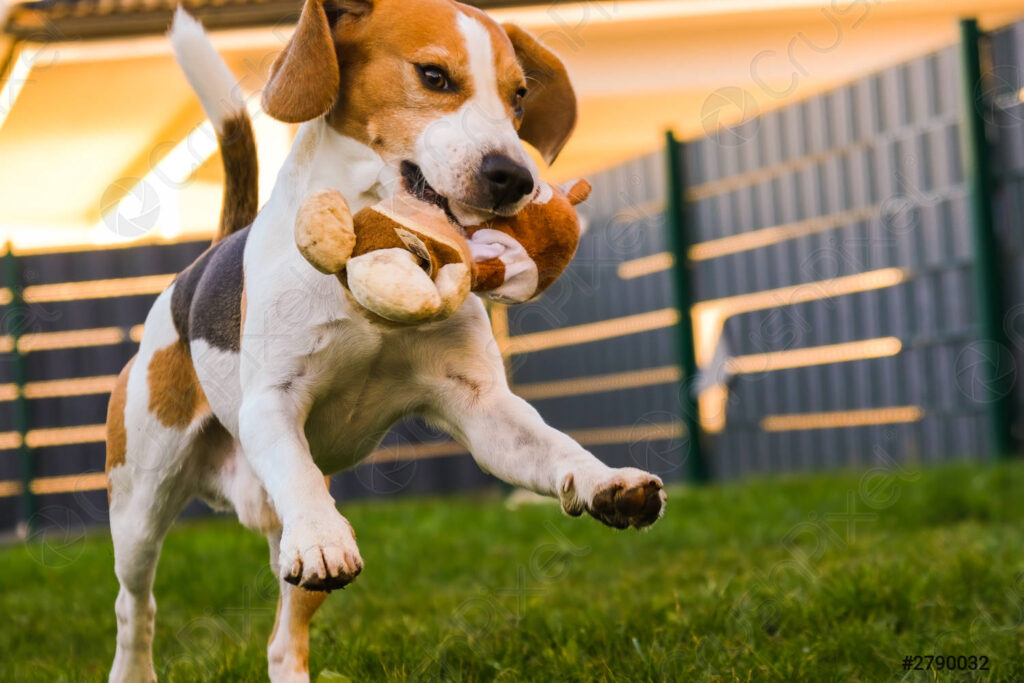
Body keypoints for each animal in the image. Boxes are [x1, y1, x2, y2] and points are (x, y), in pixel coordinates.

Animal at [103, 2, 663, 679]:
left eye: (520, 97)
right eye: (434, 76)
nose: (515, 177)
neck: (379, 236)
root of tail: (205, 259)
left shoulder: (483, 409)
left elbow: (555, 447)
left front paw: (605, 482)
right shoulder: (272, 402)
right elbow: (299, 476)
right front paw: (325, 539)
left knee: (282, 638)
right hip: (141, 501)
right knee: (136, 603)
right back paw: (134, 665)